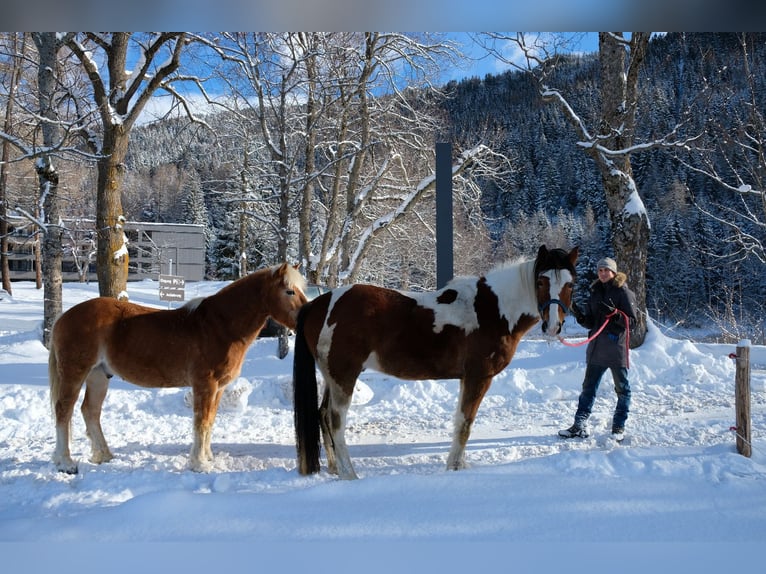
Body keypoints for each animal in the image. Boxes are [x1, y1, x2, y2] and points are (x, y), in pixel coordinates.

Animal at [48, 264, 308, 474]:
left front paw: (207, 457)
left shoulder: (219, 388)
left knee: (90, 411)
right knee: (64, 410)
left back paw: (104, 456)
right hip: (75, 373)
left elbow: (210, 421)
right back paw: (65, 463)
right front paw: (199, 464)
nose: (306, 319)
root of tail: (63, 318)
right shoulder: (205, 384)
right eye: (289, 291)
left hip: (99, 376)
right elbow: (201, 421)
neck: (219, 326)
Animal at [296, 245, 584, 480]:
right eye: (541, 281)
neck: (494, 310)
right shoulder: (479, 377)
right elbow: (465, 424)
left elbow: (460, 422)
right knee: (335, 420)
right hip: (344, 375)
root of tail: (319, 303)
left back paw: (335, 469)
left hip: (332, 377)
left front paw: (460, 465)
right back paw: (349, 474)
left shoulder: (466, 378)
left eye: (571, 284)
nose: (553, 326)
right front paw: (454, 468)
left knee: (323, 416)